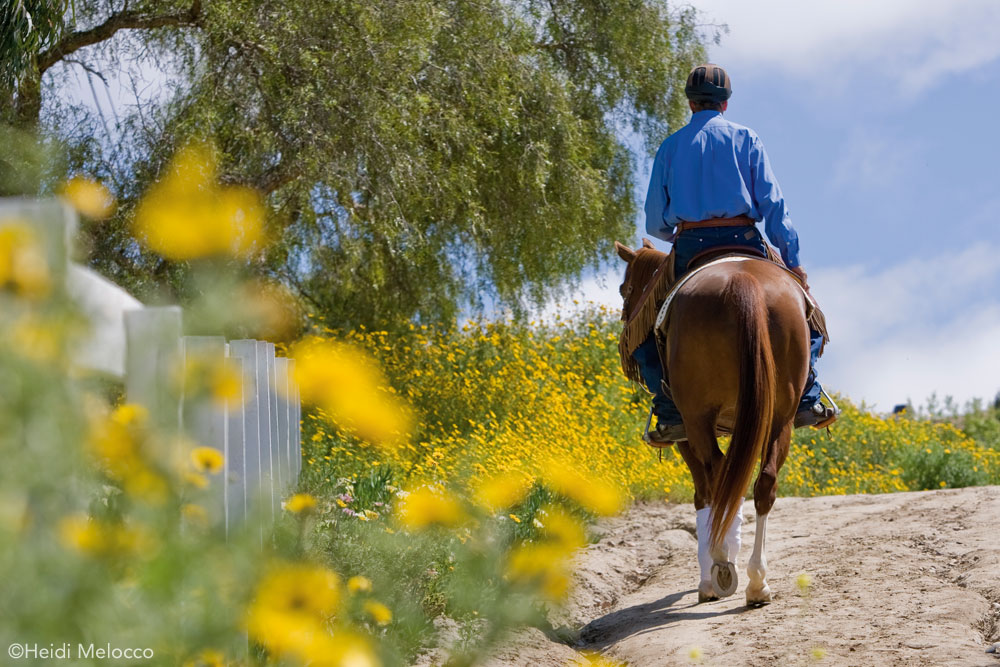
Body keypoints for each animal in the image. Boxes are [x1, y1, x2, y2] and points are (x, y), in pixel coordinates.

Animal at [616, 240, 812, 604]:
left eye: (626, 288)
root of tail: (744, 282)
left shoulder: (686, 437)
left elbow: (703, 495)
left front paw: (709, 579)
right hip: (781, 417)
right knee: (763, 483)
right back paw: (757, 582)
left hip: (696, 419)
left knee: (719, 480)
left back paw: (723, 564)